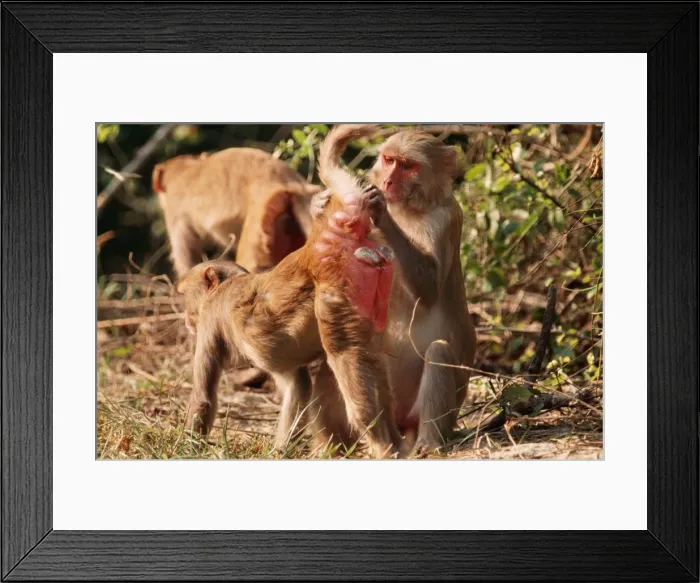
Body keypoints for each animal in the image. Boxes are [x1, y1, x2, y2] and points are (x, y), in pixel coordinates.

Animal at [176, 138, 404, 458]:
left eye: (186, 297)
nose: (186, 319)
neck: (228, 284)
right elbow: (298, 384)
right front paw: (281, 450)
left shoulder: (210, 319)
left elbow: (203, 396)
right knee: (367, 358)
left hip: (337, 289)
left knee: (345, 354)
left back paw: (383, 444)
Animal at [312, 124, 477, 452]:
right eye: (389, 160)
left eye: (408, 166)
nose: (387, 181)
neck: (410, 209)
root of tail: (403, 424)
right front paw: (318, 205)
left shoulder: (446, 220)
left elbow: (429, 289)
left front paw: (381, 211)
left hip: (437, 408)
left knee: (439, 352)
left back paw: (428, 443)